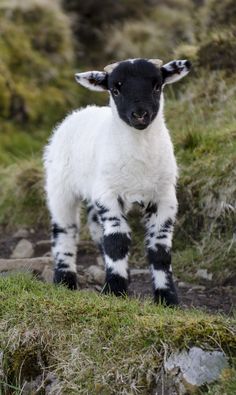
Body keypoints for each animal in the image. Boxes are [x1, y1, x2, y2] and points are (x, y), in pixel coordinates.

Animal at [43, 58, 192, 306]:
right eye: (115, 90)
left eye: (157, 86)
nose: (140, 115)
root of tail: (81, 111)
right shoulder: (109, 195)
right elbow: (117, 241)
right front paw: (114, 290)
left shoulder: (164, 198)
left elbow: (160, 250)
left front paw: (167, 298)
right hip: (60, 186)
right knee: (64, 230)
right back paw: (65, 280)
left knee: (95, 229)